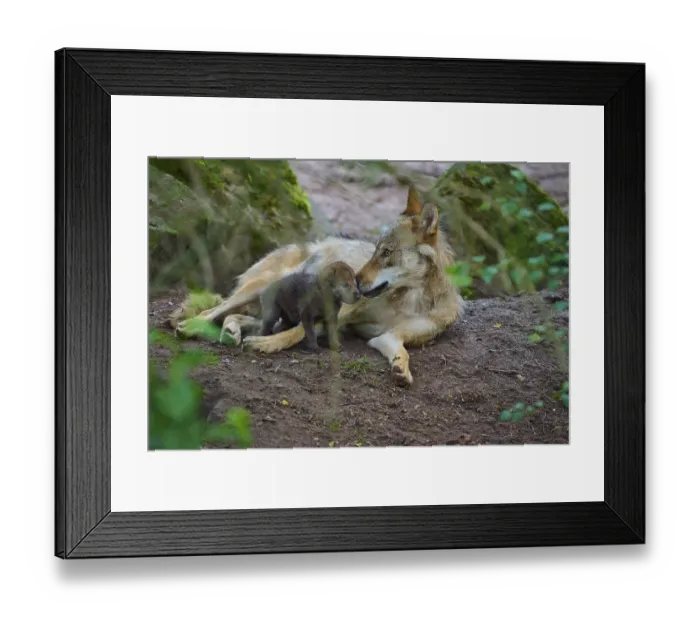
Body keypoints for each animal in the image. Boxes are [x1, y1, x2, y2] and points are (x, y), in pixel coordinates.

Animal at [173, 187, 465, 386]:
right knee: (216, 309)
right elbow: (296, 333)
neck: (410, 300)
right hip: (260, 288)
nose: (355, 280)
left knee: (235, 316)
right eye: (376, 250)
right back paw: (190, 326)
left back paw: (230, 333)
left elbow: (402, 352)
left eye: (386, 253)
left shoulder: (388, 337)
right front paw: (265, 345)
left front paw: (400, 368)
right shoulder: (339, 313)